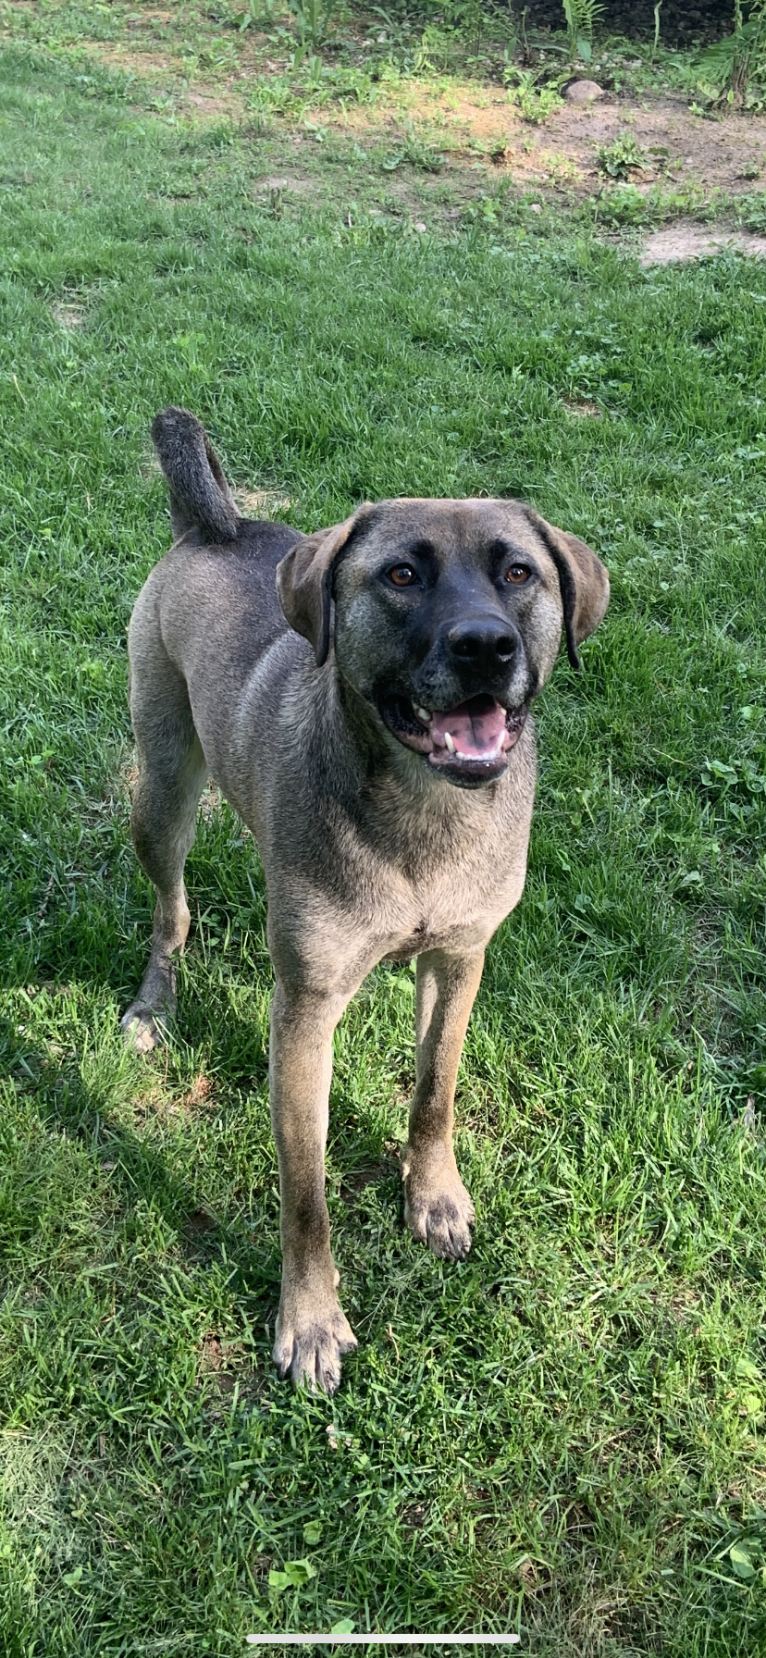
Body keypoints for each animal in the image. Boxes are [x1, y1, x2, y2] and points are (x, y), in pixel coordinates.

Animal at [121, 407, 610, 1392]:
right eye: (400, 575)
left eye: (518, 573)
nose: (484, 646)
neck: (424, 809)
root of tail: (214, 527)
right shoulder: (306, 1014)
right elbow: (304, 1194)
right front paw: (309, 1320)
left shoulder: (460, 961)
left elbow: (435, 1090)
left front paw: (435, 1195)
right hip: (160, 791)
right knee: (171, 910)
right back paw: (156, 1002)